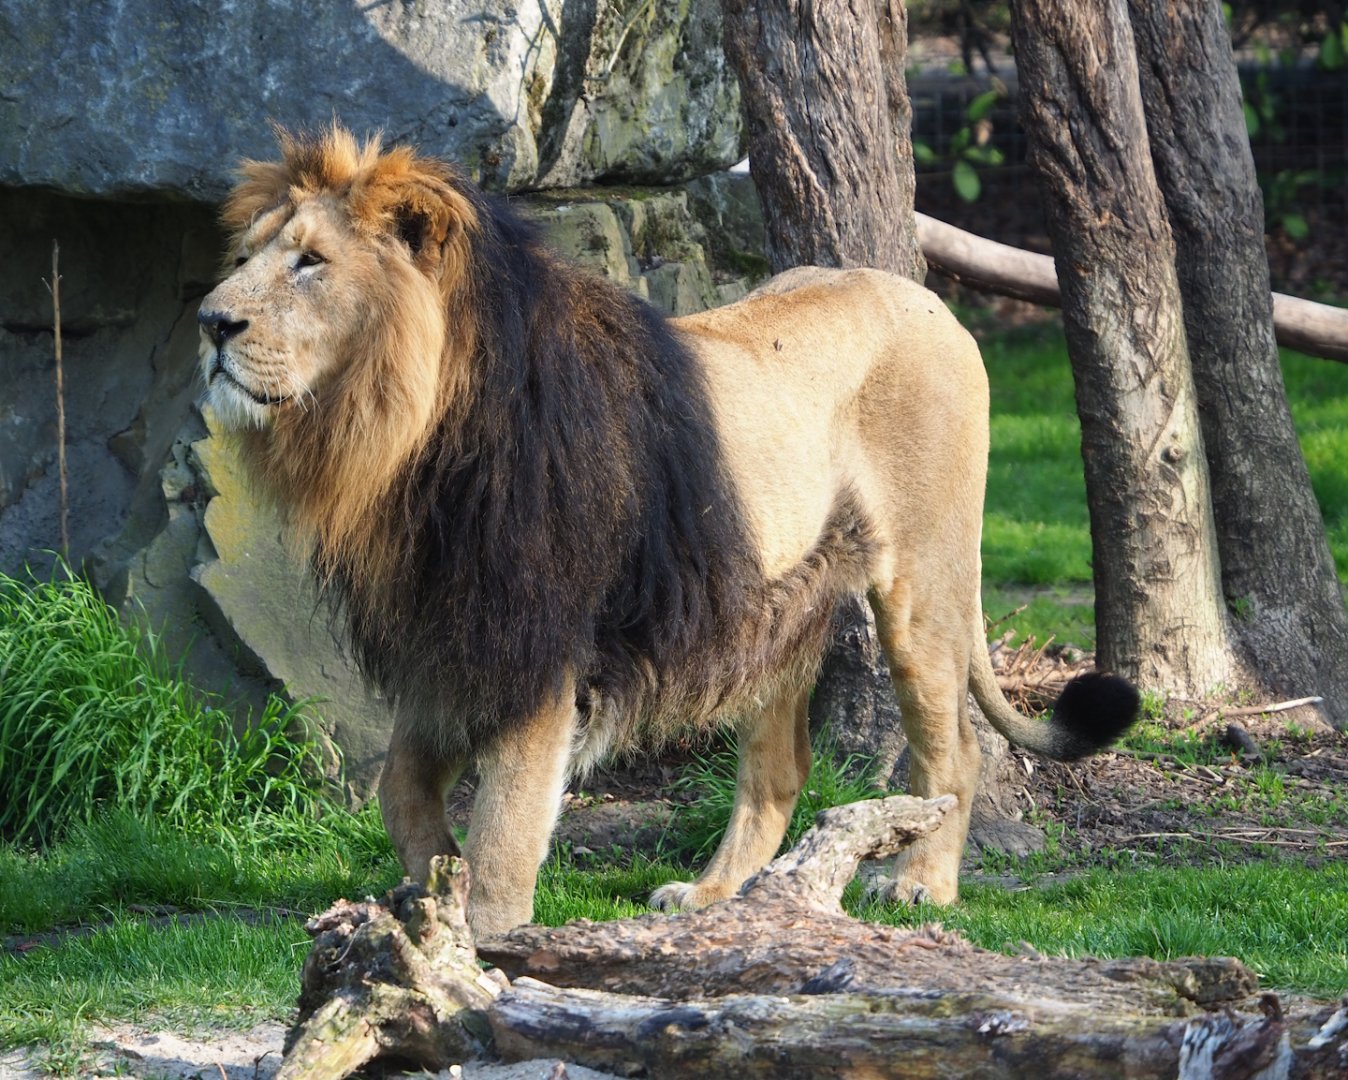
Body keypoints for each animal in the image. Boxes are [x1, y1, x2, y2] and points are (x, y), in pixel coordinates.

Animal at [198, 126, 1138, 937]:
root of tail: (928, 300)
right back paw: (720, 895)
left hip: (924, 579)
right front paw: (431, 889)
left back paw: (919, 885)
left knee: (954, 748)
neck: (402, 443)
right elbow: (399, 788)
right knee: (778, 768)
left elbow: (507, 817)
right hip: (772, 606)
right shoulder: (454, 630)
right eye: (244, 259)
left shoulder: (541, 640)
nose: (210, 323)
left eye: (311, 263)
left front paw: (485, 935)